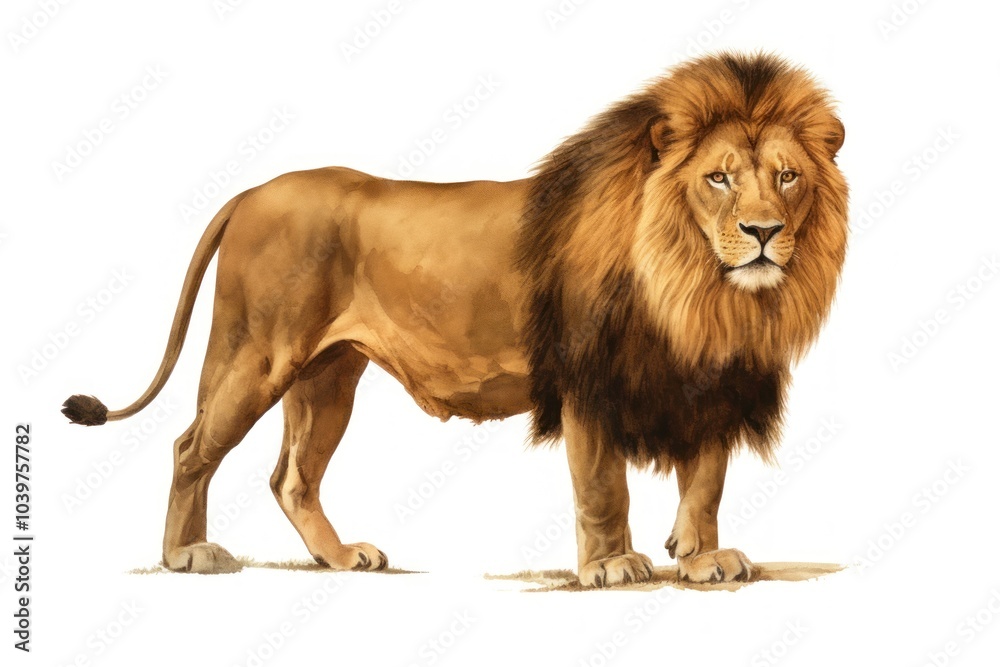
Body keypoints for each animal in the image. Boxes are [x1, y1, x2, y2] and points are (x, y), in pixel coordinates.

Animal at [63, 52, 847, 586]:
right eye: (717, 177)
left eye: (787, 176)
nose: (763, 232)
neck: (700, 293)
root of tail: (251, 191)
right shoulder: (586, 380)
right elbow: (603, 487)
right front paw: (613, 564)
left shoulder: (717, 383)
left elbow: (706, 480)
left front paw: (703, 556)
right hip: (257, 352)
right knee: (191, 447)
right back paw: (185, 553)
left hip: (327, 375)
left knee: (292, 476)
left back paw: (339, 556)